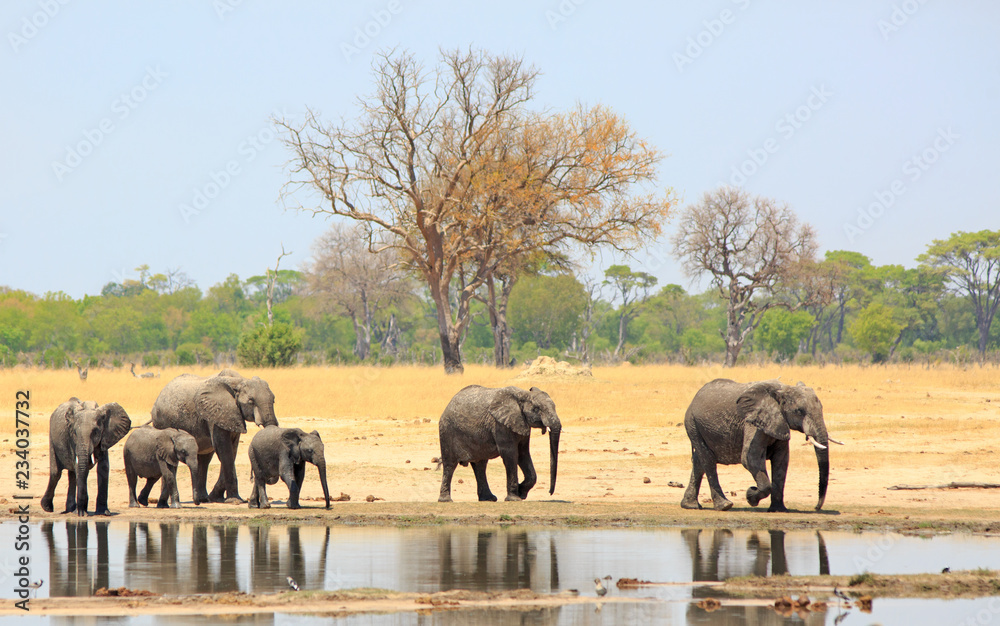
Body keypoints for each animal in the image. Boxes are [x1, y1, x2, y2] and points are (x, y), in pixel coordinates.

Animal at [150, 369, 279, 503]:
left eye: (273, 400)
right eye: (251, 401)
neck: (239, 381)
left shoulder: (232, 415)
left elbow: (232, 450)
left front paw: (216, 498)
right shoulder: (215, 414)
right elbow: (223, 449)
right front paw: (235, 501)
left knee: (204, 459)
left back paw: (204, 499)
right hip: (162, 422)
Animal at [681, 379, 841, 512]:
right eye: (799, 411)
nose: (816, 507)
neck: (782, 390)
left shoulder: (779, 423)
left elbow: (781, 461)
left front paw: (778, 510)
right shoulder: (753, 423)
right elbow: (750, 458)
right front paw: (751, 495)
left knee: (699, 461)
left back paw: (690, 506)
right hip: (692, 423)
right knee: (708, 460)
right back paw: (725, 506)